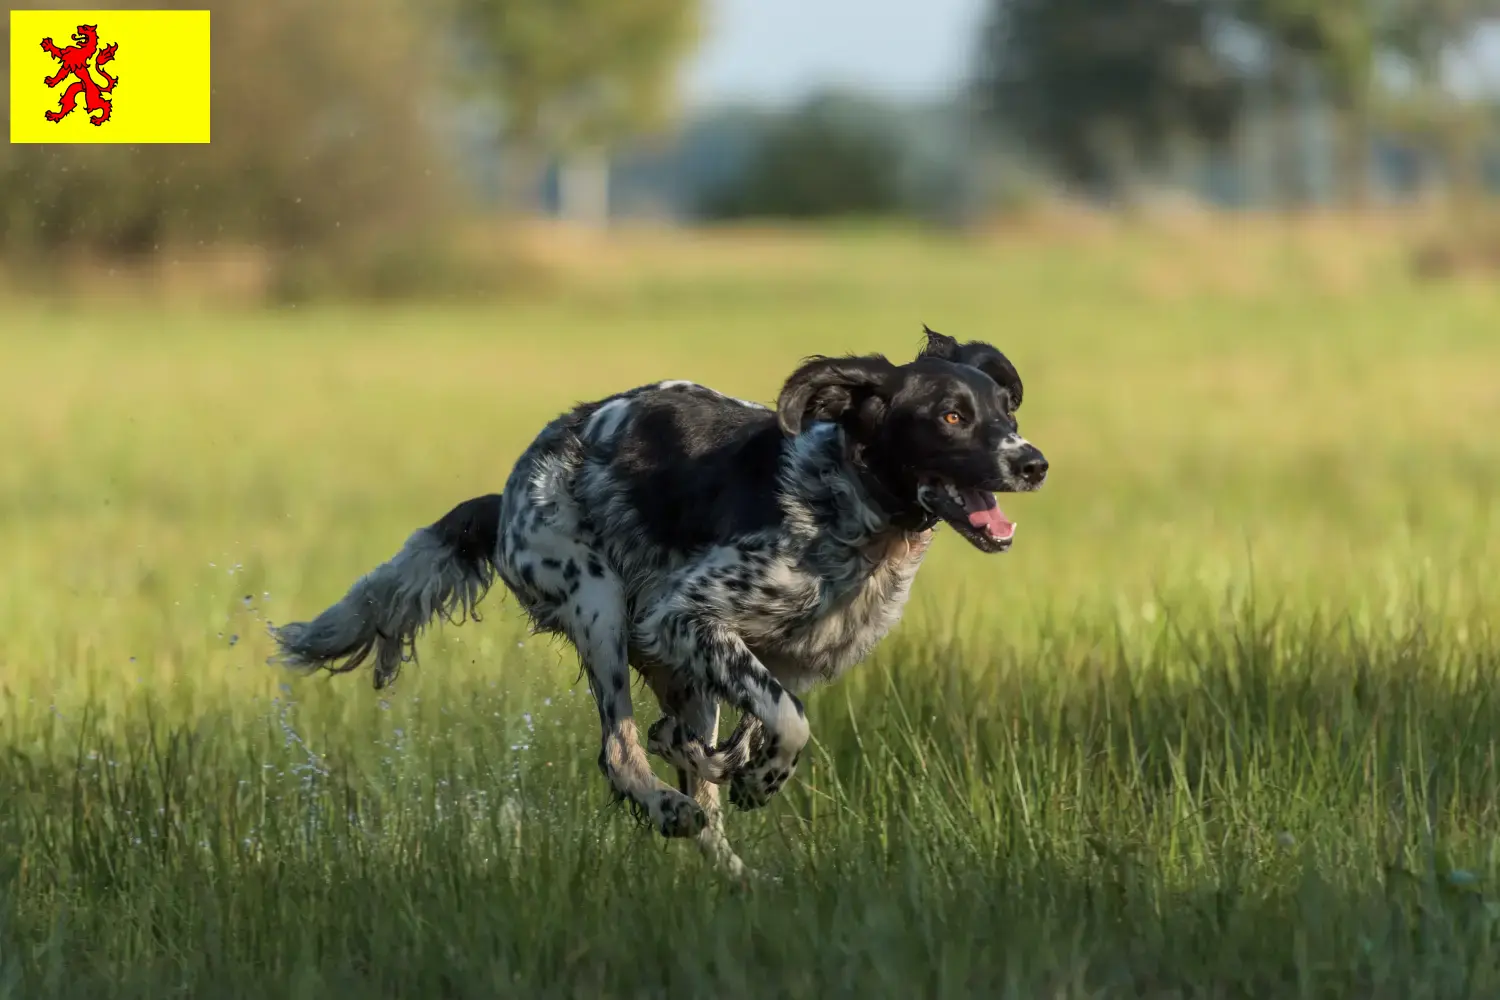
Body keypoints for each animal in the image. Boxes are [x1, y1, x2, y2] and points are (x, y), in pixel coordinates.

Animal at [267, 328, 1044, 875]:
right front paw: (759, 781)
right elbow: (789, 725)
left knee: (683, 763)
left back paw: (733, 865)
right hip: (600, 606)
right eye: (950, 416)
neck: (850, 511)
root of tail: (509, 493)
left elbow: (758, 721)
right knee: (621, 753)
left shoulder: (779, 657)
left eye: (1006, 409)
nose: (1032, 462)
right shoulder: (683, 613)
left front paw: (736, 769)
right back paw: (669, 810)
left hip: (668, 663)